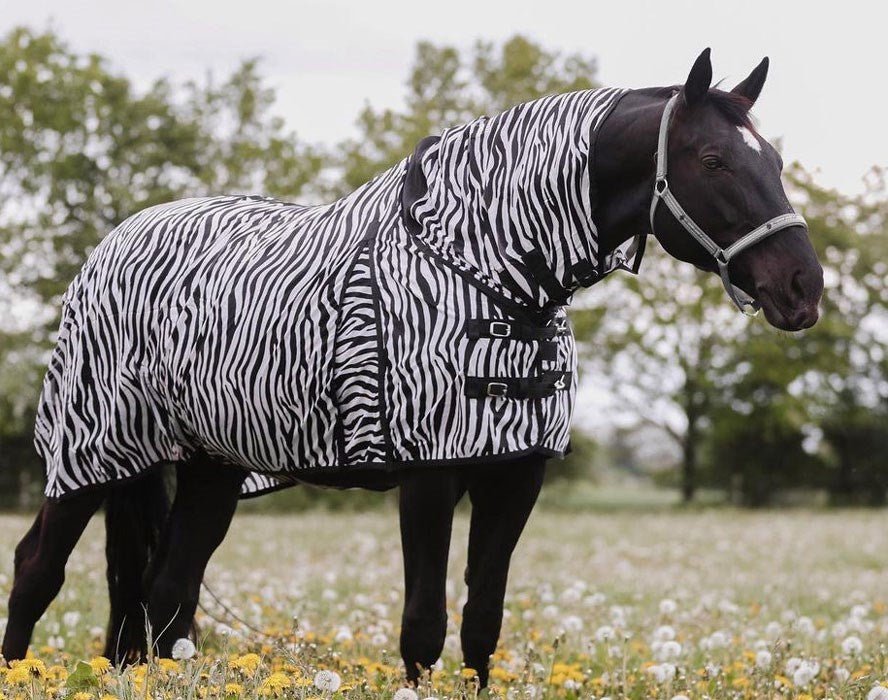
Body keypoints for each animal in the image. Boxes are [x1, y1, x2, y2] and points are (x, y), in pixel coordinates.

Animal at [2, 49, 823, 688]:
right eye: (712, 161)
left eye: (777, 161)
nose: (802, 289)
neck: (489, 275)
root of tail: (115, 244)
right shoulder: (430, 476)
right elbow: (423, 626)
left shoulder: (515, 476)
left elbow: (482, 621)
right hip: (91, 452)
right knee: (39, 566)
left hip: (211, 468)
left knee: (168, 592)